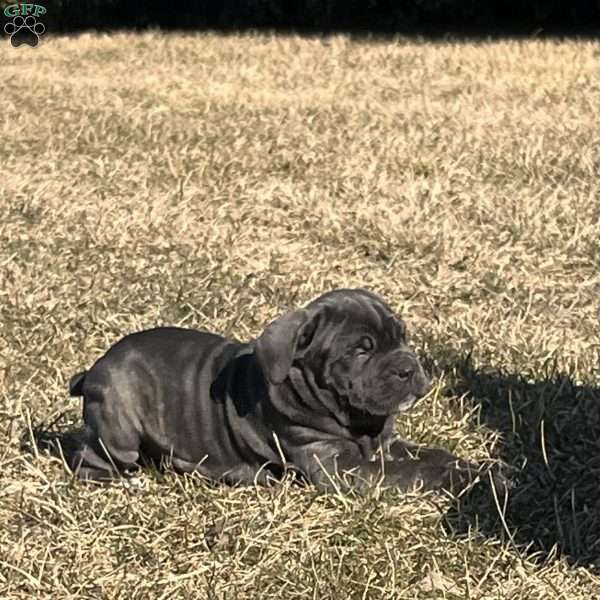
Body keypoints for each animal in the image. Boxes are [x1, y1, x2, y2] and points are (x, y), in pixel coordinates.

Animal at [65, 290, 478, 492]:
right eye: (361, 350)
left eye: (402, 337)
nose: (409, 368)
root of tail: (97, 365)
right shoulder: (338, 465)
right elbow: (414, 471)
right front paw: (463, 481)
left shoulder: (385, 444)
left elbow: (432, 455)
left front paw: (474, 468)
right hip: (119, 425)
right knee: (90, 459)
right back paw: (125, 483)